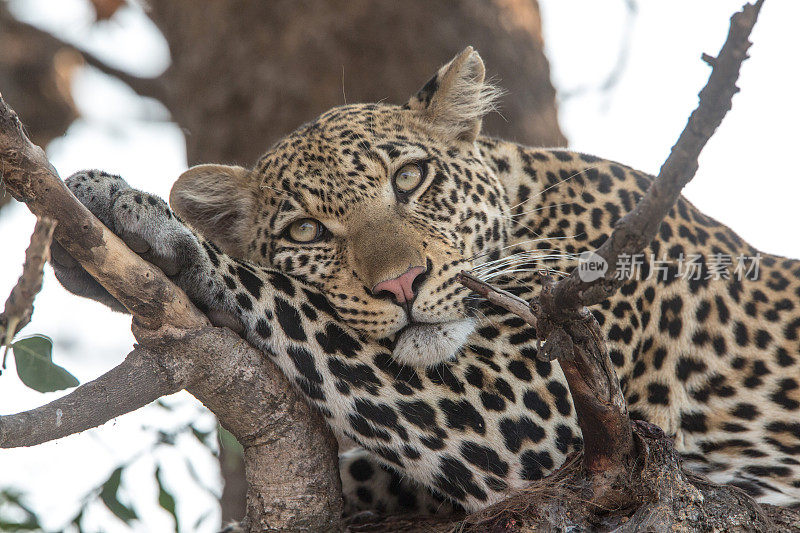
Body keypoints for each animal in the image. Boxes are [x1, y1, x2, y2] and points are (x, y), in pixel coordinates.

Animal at [50, 48, 800, 516]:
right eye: (306, 232)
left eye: (410, 178)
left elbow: (292, 302)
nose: (402, 284)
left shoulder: (538, 407)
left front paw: (145, 218)